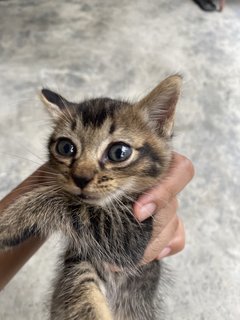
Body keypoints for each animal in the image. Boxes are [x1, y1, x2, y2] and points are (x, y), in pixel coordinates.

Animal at [0, 75, 182, 320]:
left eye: (119, 152)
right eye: (65, 147)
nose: (81, 177)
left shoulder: (133, 236)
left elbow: (69, 202)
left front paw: (10, 222)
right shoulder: (80, 261)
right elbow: (80, 293)